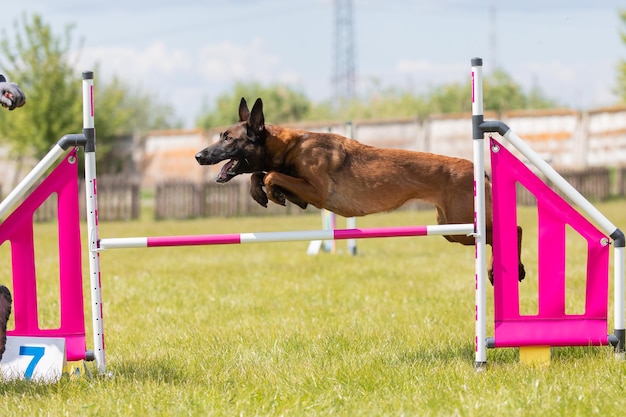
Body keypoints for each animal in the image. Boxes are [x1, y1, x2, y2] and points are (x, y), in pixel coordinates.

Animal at [194, 97, 520, 282]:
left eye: (228, 138)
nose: (198, 156)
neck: (291, 145)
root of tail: (477, 169)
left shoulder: (317, 191)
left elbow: (271, 174)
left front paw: (271, 192)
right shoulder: (304, 193)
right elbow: (260, 174)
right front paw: (261, 192)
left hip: (462, 222)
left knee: (511, 229)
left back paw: (506, 270)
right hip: (452, 229)